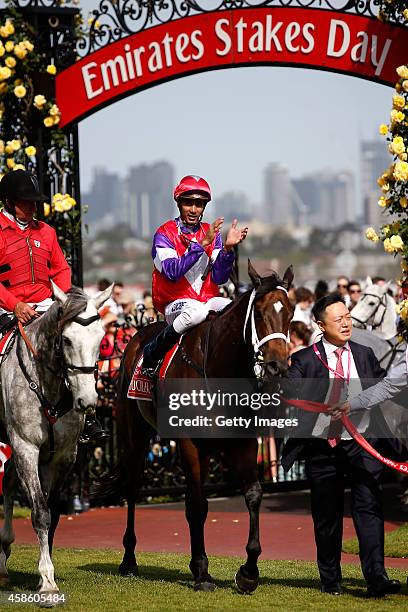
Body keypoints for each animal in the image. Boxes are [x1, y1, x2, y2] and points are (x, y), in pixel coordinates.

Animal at [0, 284, 111, 596]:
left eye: (101, 339)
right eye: (66, 340)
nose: (87, 401)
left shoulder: (61, 456)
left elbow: (52, 512)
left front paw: (45, 572)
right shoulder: (26, 447)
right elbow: (40, 512)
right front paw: (47, 580)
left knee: (8, 483)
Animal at [114, 262, 294, 592]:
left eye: (289, 313)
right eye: (259, 314)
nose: (277, 367)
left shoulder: (242, 441)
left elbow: (252, 494)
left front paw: (248, 571)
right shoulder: (190, 443)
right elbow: (197, 504)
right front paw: (201, 571)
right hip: (135, 435)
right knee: (133, 488)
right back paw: (129, 559)